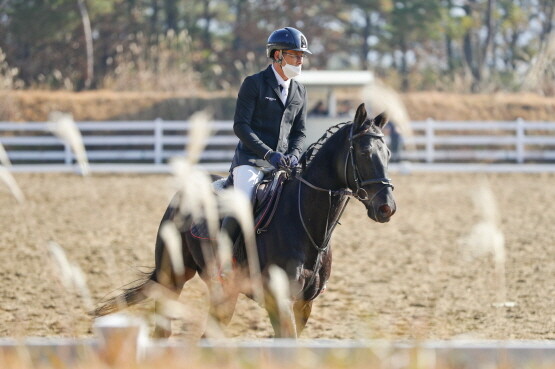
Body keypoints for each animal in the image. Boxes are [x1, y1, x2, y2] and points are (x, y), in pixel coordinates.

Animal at [93, 103, 396, 336]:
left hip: (222, 292)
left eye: (388, 153)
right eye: (364, 153)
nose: (387, 208)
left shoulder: (304, 304)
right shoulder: (279, 300)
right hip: (173, 278)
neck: (307, 225)